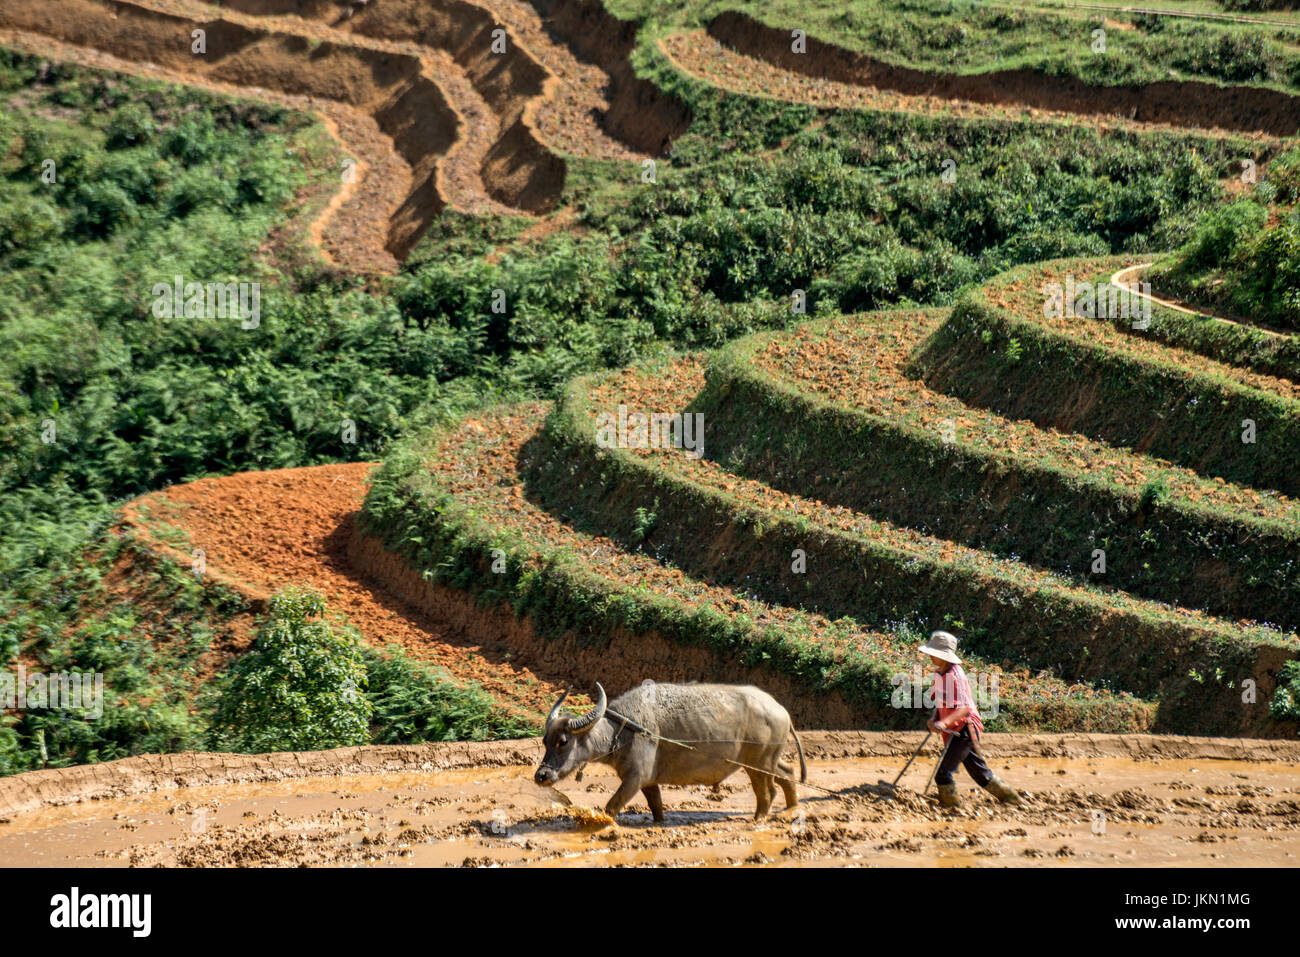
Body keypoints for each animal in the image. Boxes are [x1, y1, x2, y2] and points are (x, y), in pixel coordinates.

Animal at [535, 681, 800, 821]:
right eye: (545, 741)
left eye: (563, 741)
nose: (541, 776)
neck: (624, 728)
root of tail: (780, 710)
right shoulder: (648, 781)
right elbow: (656, 806)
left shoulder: (635, 778)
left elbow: (612, 806)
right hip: (767, 761)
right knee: (787, 772)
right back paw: (791, 808)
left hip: (758, 765)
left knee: (766, 792)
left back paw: (758, 820)